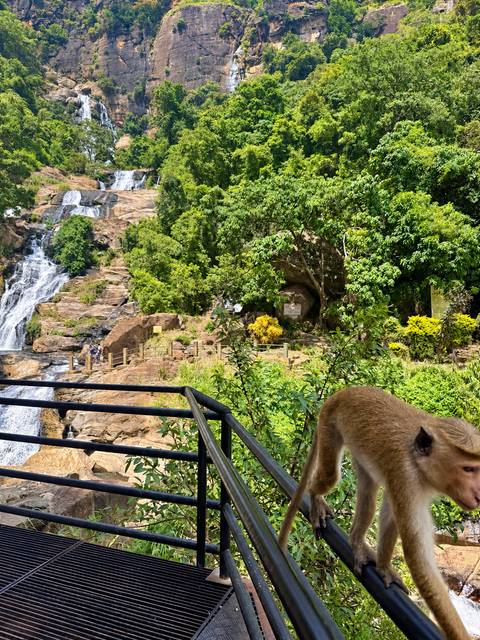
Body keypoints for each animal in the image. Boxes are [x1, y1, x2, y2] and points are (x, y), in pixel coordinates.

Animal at [278, 386, 480, 640]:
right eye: (468, 469)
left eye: (477, 469)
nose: (478, 495)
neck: (418, 461)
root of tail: (341, 394)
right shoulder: (405, 476)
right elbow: (418, 556)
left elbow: (390, 516)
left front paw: (383, 566)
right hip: (329, 426)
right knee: (330, 476)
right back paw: (315, 497)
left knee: (368, 494)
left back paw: (356, 541)